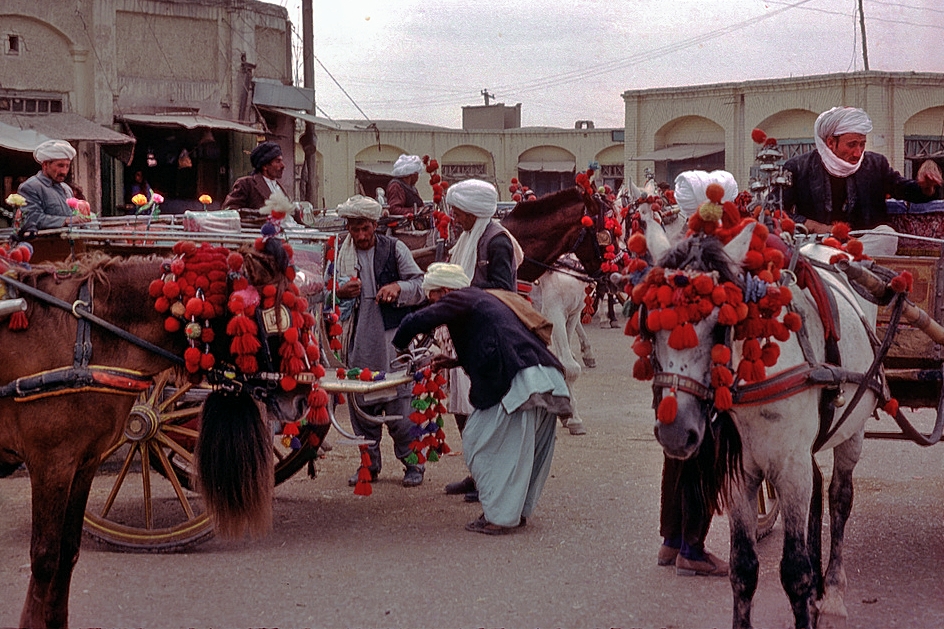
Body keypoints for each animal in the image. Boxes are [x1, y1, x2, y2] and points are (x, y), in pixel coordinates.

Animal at [0, 242, 318, 628]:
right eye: (278, 317)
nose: (301, 398)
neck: (85, 332)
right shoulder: (51, 462)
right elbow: (46, 557)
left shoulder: (83, 462)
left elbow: (68, 552)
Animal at [636, 220, 880, 628]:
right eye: (650, 323)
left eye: (720, 323)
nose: (675, 431)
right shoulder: (740, 476)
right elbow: (743, 568)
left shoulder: (790, 468)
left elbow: (795, 573)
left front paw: (810, 596)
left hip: (854, 428)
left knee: (839, 499)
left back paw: (831, 591)